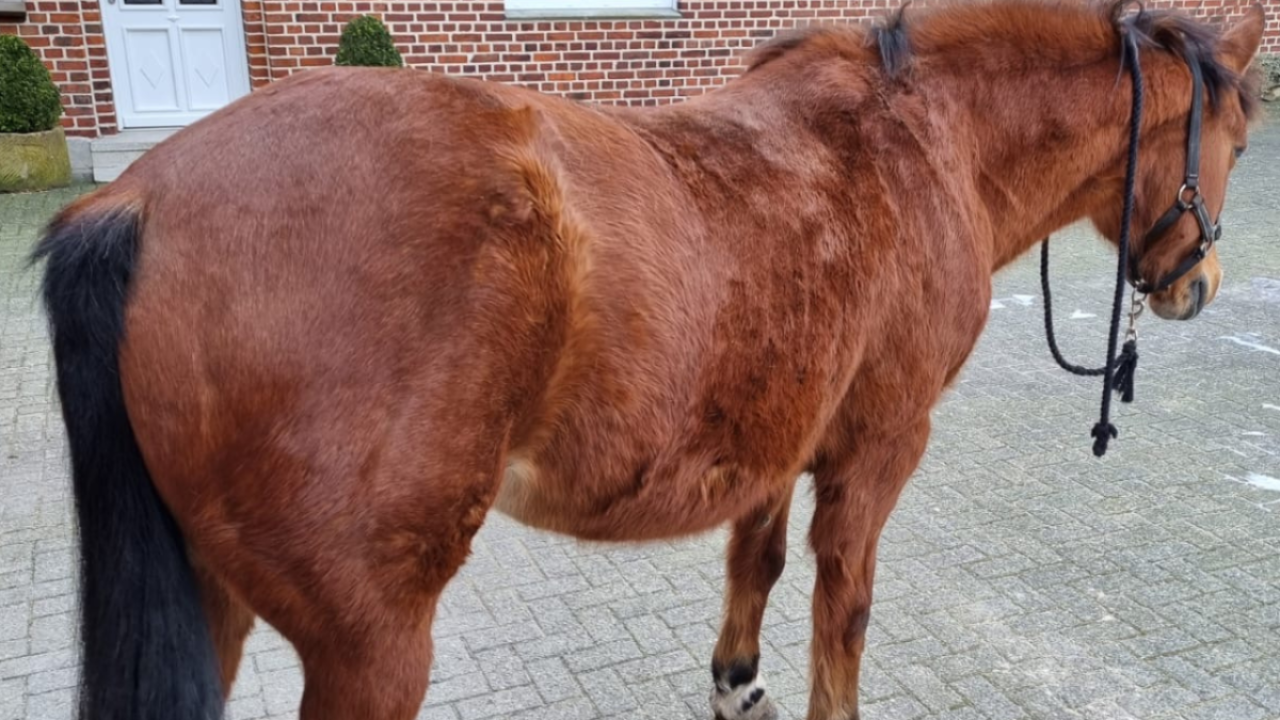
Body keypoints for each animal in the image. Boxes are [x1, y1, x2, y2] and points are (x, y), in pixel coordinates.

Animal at [33, 1, 1263, 718]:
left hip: (216, 601)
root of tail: (138, 201)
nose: (1196, 283)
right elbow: (845, 605)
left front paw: (736, 681)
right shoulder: (878, 446)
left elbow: (755, 567)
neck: (922, 143)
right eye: (1240, 139)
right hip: (368, 647)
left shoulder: (775, 435)